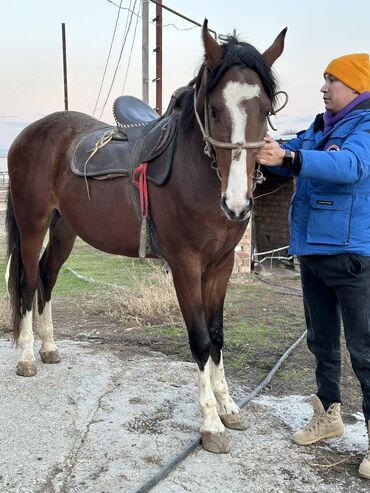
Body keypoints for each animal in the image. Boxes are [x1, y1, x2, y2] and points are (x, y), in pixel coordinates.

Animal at [4, 23, 286, 454]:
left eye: (267, 110)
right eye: (214, 110)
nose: (237, 205)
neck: (197, 174)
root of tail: (28, 134)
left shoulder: (220, 266)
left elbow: (218, 335)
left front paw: (229, 407)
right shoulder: (185, 266)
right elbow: (200, 340)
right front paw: (211, 424)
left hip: (65, 227)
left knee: (48, 279)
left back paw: (49, 348)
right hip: (33, 223)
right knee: (28, 280)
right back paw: (26, 357)